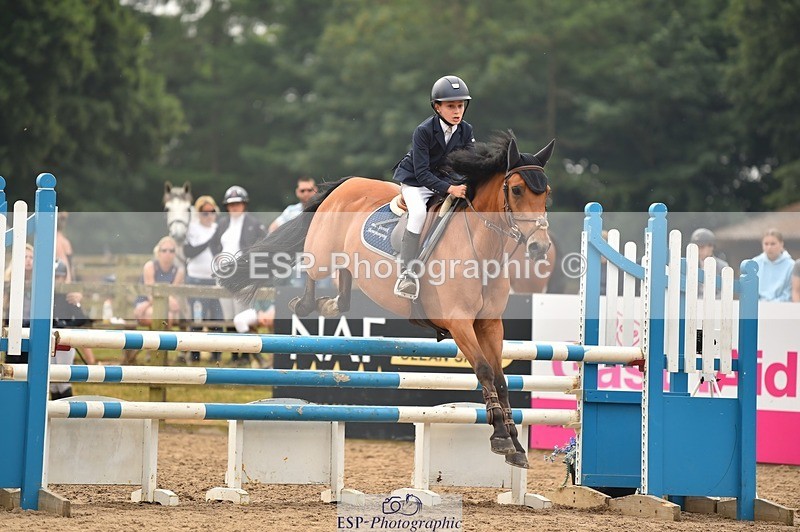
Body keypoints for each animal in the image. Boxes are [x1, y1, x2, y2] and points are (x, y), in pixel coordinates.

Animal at [221, 132, 554, 469]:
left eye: (546, 194)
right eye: (516, 189)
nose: (540, 247)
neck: (480, 249)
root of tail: (347, 183)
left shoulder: (489, 324)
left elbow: (500, 379)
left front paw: (516, 445)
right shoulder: (459, 323)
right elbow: (484, 371)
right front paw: (500, 438)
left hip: (347, 258)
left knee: (344, 285)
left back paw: (330, 304)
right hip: (322, 251)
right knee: (313, 270)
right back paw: (303, 305)